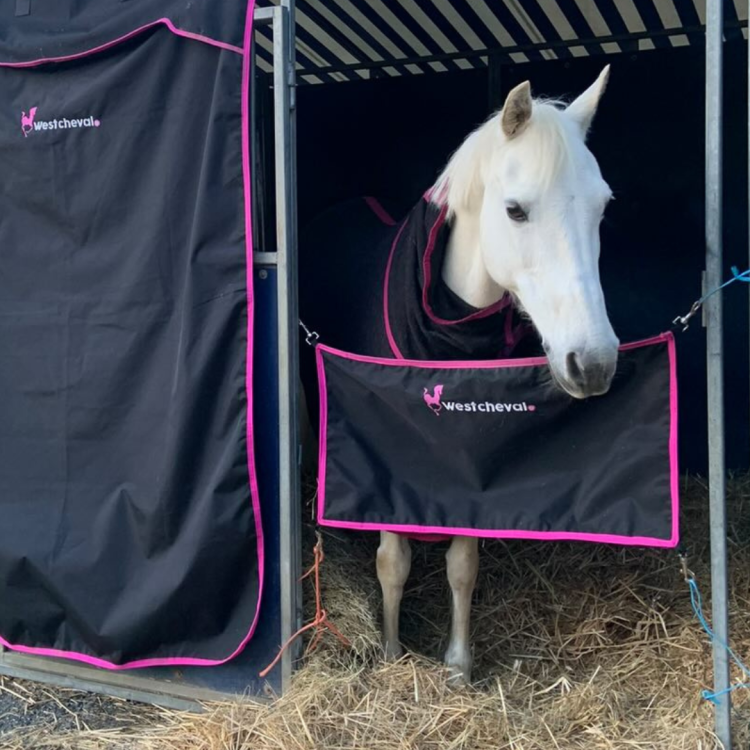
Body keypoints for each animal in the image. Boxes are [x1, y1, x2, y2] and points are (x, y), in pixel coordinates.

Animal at [298, 66, 618, 683]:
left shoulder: (470, 456)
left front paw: (458, 666)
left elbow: (463, 564)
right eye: (515, 210)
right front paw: (392, 655)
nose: (592, 363)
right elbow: (392, 563)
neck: (448, 334)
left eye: (602, 208)